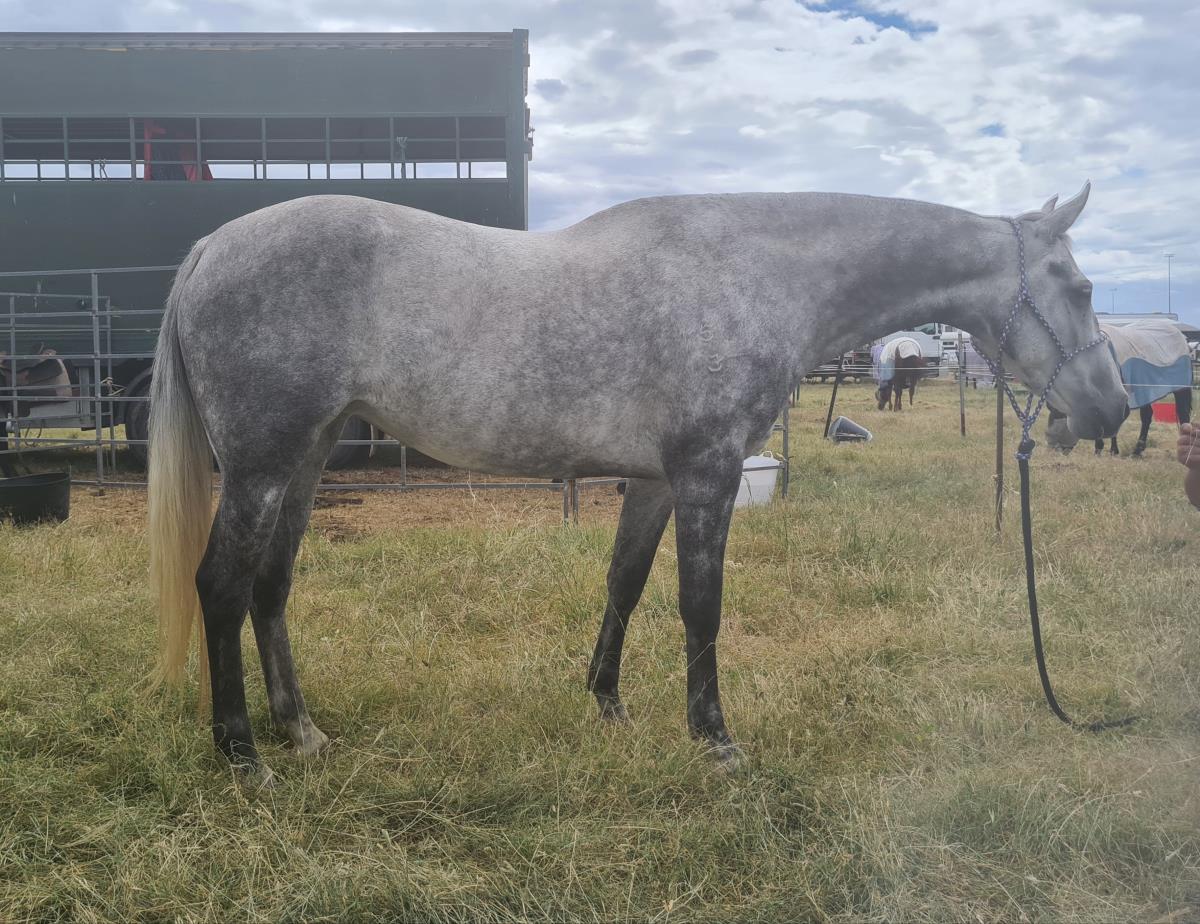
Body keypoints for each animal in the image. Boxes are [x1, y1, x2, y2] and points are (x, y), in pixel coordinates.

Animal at [148, 185, 1128, 786]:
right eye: (1080, 288)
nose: (1112, 408)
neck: (754, 276)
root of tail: (208, 248)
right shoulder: (707, 474)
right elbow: (702, 605)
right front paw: (716, 740)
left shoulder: (655, 482)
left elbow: (623, 582)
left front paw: (609, 706)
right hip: (263, 465)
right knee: (221, 586)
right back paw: (242, 755)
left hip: (305, 460)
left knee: (271, 588)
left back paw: (301, 732)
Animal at [1045, 319, 1193, 456]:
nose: (1054, 447)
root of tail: (1182, 337)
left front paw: (1108, 450)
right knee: (1147, 415)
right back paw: (1138, 450)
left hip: (1181, 388)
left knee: (1183, 413)